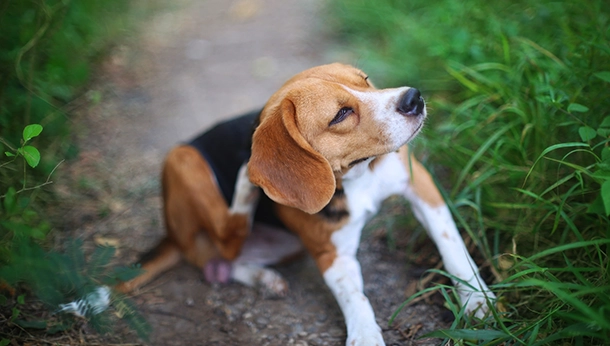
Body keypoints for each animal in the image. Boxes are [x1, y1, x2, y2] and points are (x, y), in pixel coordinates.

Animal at [117, 63, 494, 344]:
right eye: (341, 114)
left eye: (365, 81)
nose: (413, 97)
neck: (356, 177)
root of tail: (172, 237)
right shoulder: (331, 255)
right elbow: (354, 297)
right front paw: (365, 335)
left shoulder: (421, 185)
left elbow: (452, 247)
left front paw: (476, 298)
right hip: (182, 159)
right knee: (223, 241)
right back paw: (245, 189)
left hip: (285, 244)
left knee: (222, 260)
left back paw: (262, 276)